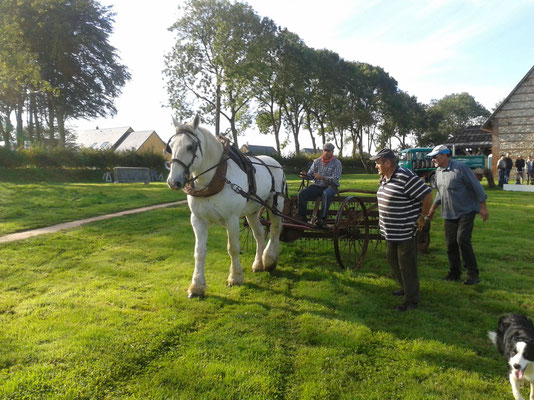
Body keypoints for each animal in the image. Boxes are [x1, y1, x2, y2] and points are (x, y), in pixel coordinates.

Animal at [168, 115, 286, 296]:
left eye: (190, 146)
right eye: (171, 146)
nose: (174, 181)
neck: (215, 178)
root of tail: (274, 162)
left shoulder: (232, 219)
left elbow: (233, 248)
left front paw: (235, 277)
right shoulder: (197, 220)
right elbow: (199, 252)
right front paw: (197, 285)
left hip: (275, 204)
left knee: (274, 230)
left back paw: (269, 260)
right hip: (252, 211)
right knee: (259, 234)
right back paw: (258, 264)